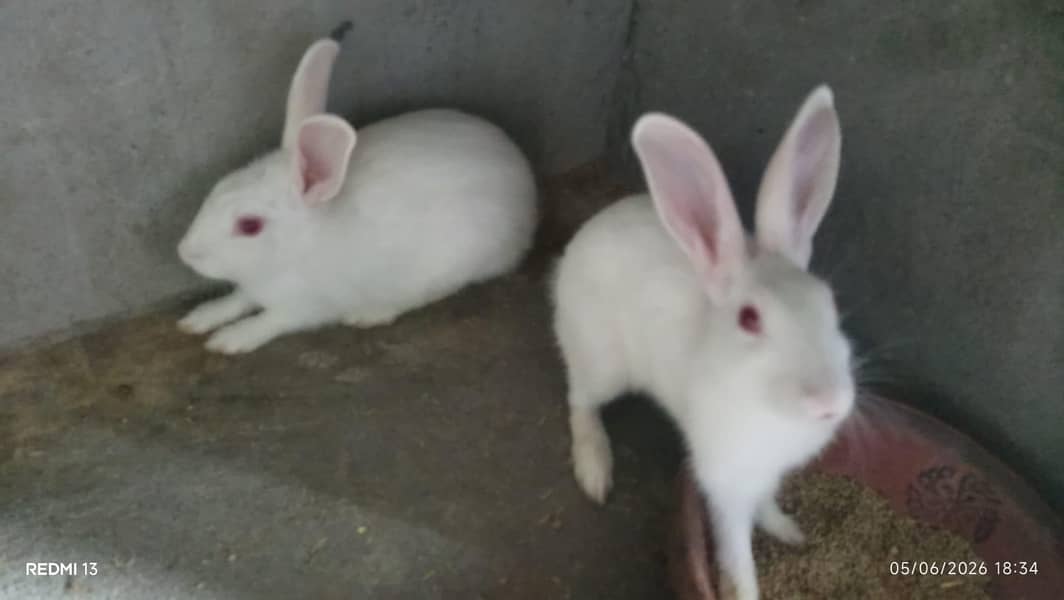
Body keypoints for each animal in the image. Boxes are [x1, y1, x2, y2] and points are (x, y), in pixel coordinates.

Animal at [177, 26, 538, 354]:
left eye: (250, 225)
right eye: (219, 185)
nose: (185, 252)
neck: (296, 249)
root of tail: (526, 181)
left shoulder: (305, 307)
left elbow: (268, 321)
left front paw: (229, 340)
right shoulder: (252, 287)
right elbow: (237, 300)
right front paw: (199, 318)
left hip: (451, 263)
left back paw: (371, 314)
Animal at [551, 86, 855, 600]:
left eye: (830, 302)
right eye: (749, 319)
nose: (829, 403)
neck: (768, 409)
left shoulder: (766, 475)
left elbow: (767, 505)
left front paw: (790, 532)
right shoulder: (725, 486)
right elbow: (737, 557)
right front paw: (746, 587)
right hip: (603, 363)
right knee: (580, 401)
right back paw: (595, 470)